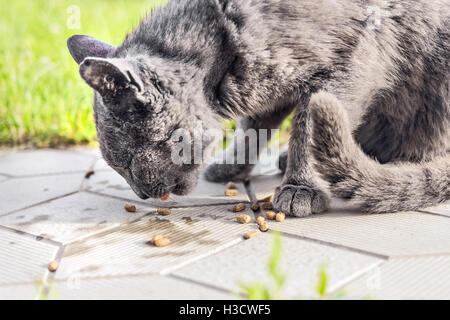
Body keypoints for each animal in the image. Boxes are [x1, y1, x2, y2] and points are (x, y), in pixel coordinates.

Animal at [67, 0, 450, 216]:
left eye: (128, 164)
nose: (141, 194)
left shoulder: (354, 59)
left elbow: (306, 126)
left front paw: (301, 188)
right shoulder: (266, 85)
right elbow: (253, 128)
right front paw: (233, 166)